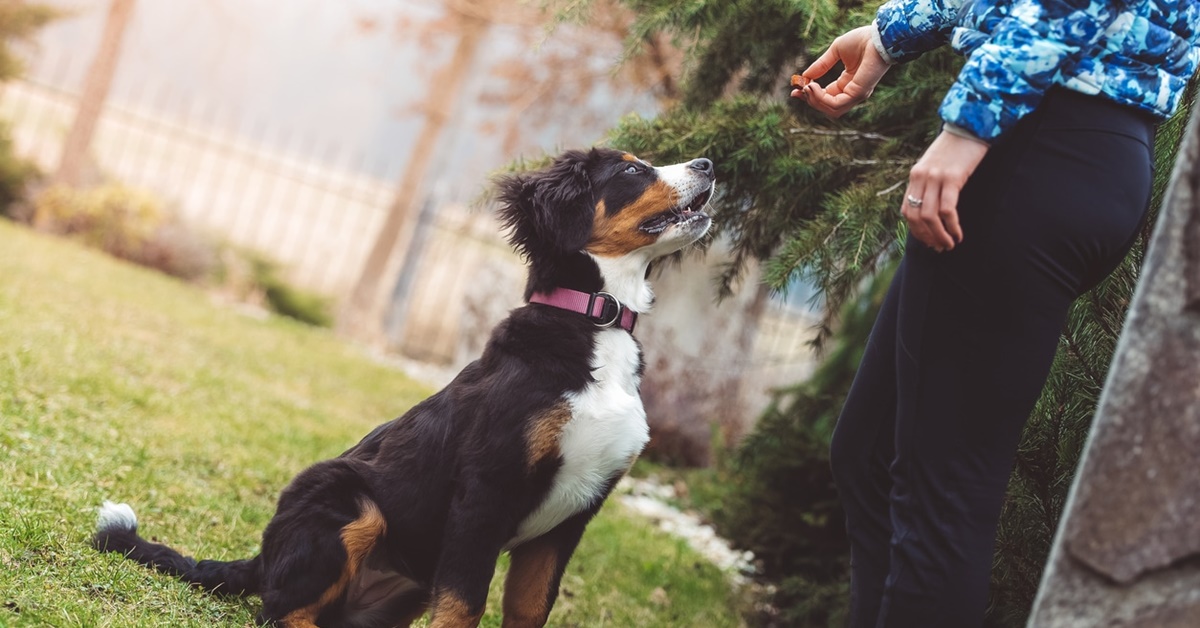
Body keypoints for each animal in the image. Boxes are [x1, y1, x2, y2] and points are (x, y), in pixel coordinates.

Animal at [96, 148, 710, 628]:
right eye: (632, 170)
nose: (708, 165)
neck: (594, 324)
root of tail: (265, 555)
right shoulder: (485, 492)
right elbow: (463, 606)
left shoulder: (575, 513)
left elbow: (530, 608)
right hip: (349, 504)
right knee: (280, 608)